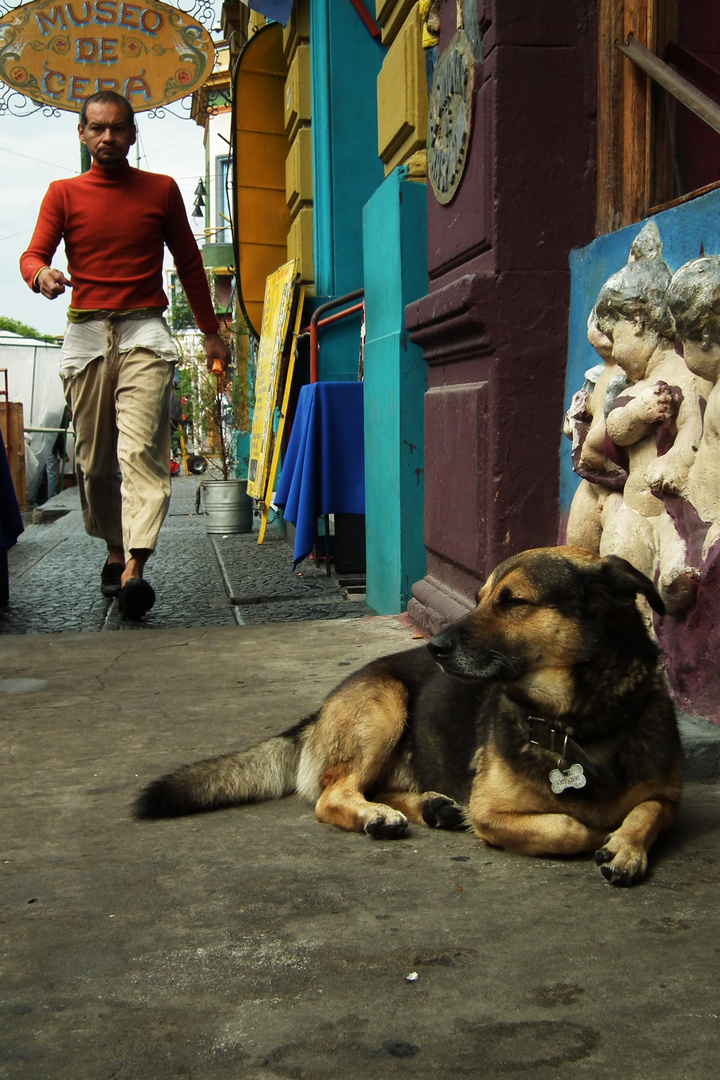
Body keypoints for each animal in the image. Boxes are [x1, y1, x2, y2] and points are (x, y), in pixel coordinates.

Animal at [134, 548, 682, 885]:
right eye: (480, 598)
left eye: (514, 602)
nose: (435, 648)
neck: (577, 723)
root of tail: (319, 711)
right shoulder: (493, 811)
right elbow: (570, 827)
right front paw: (599, 832)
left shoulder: (668, 796)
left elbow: (647, 811)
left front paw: (626, 845)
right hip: (384, 705)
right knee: (333, 794)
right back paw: (380, 815)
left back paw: (432, 807)